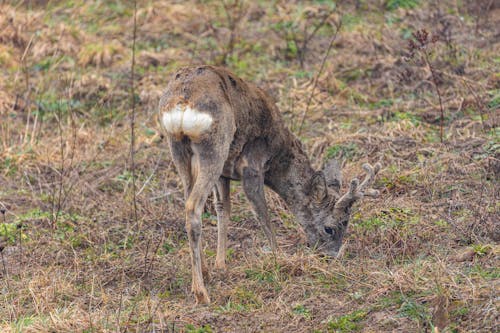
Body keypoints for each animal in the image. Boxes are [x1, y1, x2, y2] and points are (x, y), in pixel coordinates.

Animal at [158, 65, 380, 304]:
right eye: (330, 228)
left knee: (189, 200)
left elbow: (223, 210)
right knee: (193, 206)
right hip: (214, 145)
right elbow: (262, 214)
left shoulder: (225, 174)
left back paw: (203, 274)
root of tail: (183, 98)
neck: (278, 157)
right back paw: (201, 293)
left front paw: (220, 265)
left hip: (179, 149)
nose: (331, 256)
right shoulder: (252, 166)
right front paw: (278, 259)